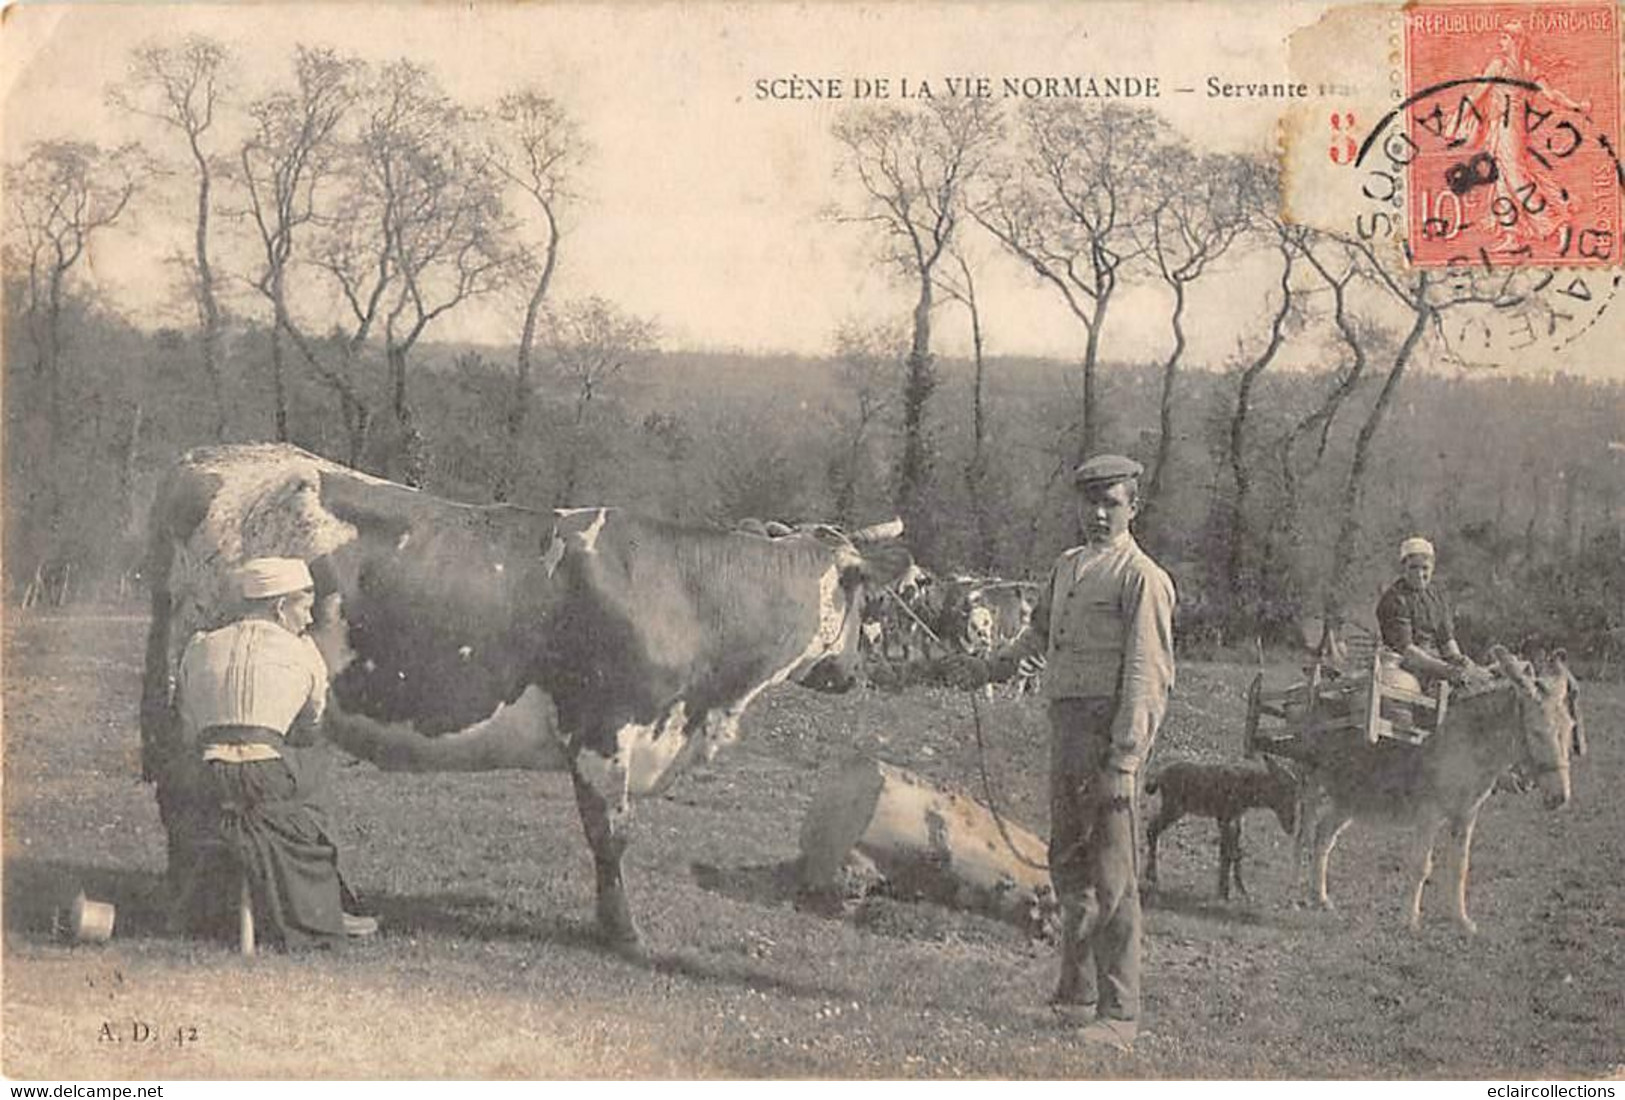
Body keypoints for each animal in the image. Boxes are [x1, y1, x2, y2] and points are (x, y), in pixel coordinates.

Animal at [143, 441, 916, 948]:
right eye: (865, 597)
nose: (852, 673)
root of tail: (210, 460)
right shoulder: (607, 733)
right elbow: (611, 837)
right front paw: (622, 933)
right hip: (193, 686)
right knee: (183, 797)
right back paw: (190, 907)